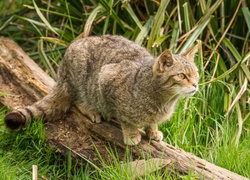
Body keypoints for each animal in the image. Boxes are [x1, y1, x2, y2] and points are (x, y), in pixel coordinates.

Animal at [3, 34, 199, 145]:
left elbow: (151, 122)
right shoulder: (107, 77)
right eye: (182, 76)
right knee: (77, 100)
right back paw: (92, 110)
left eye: (196, 74)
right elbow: (126, 119)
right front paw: (131, 134)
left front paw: (153, 131)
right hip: (82, 79)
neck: (163, 101)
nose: (196, 85)